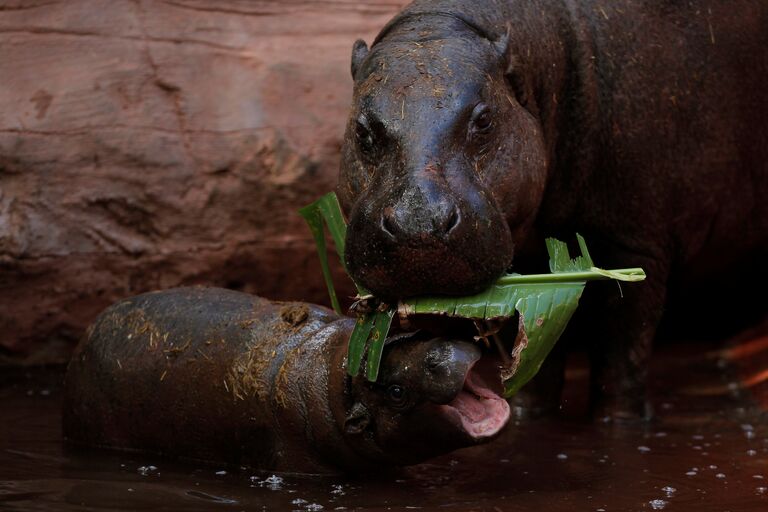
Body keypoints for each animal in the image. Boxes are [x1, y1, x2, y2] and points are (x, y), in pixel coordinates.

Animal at [340, 0, 768, 418]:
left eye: (485, 119)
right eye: (360, 129)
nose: (418, 224)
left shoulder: (637, 247)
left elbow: (621, 355)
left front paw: (619, 424)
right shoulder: (529, 265)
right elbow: (532, 352)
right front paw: (528, 416)